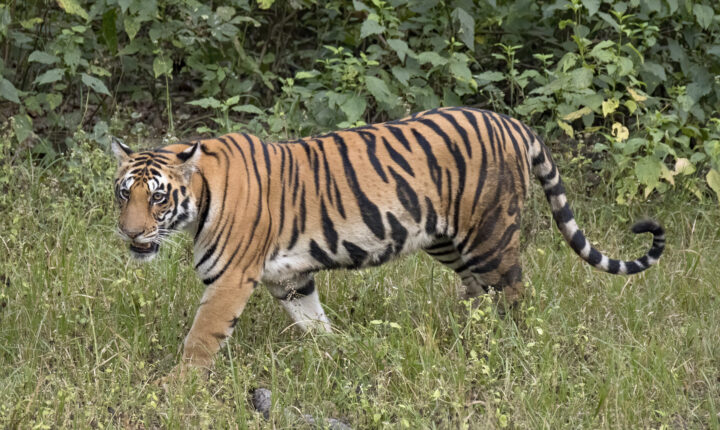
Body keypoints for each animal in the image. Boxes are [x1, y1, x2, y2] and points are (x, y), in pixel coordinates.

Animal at [111, 106, 665, 371]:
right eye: (123, 194)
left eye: (157, 198)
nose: (130, 232)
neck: (200, 198)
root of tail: (512, 122)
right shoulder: (289, 278)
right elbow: (313, 321)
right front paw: (338, 353)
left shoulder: (229, 280)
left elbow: (201, 339)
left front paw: (179, 389)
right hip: (448, 240)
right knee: (477, 293)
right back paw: (465, 338)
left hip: (490, 236)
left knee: (513, 295)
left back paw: (510, 348)